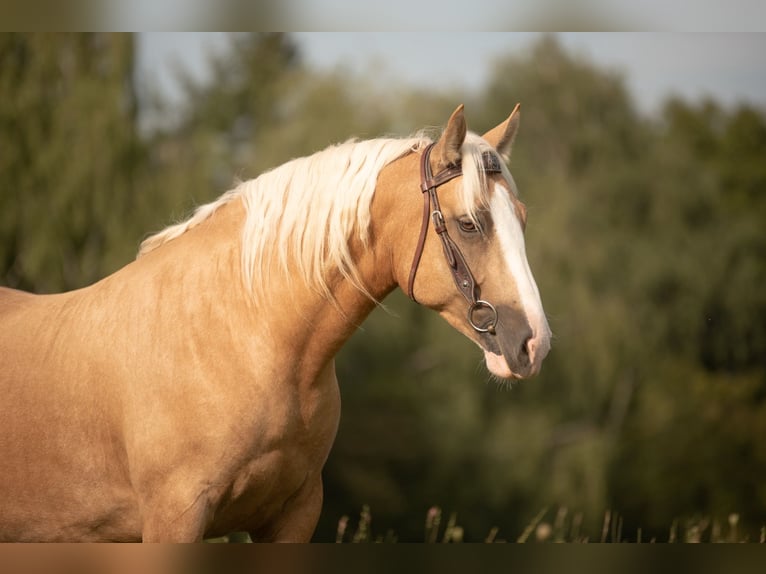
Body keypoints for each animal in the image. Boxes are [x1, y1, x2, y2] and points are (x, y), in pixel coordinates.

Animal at [0, 104, 552, 544]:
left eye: (522, 218)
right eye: (469, 223)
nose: (535, 344)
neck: (243, 338)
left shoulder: (293, 516)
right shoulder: (174, 519)